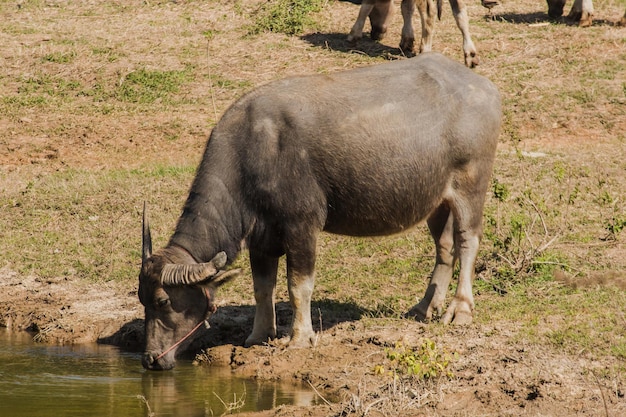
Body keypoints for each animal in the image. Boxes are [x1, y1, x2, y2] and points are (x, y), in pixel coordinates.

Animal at [139, 51, 500, 368]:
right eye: (141, 299)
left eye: (163, 301)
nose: (150, 360)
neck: (253, 152)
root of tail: (484, 86)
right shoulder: (261, 237)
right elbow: (262, 287)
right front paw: (259, 335)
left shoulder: (302, 227)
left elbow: (298, 285)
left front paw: (300, 338)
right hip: (437, 199)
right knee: (444, 246)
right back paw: (425, 307)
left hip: (471, 185)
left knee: (467, 240)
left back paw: (460, 310)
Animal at [346, 0, 478, 67]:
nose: (375, 35)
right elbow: (407, 7)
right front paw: (407, 40)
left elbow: (367, 5)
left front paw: (354, 35)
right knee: (460, 10)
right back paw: (471, 54)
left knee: (429, 11)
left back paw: (425, 51)